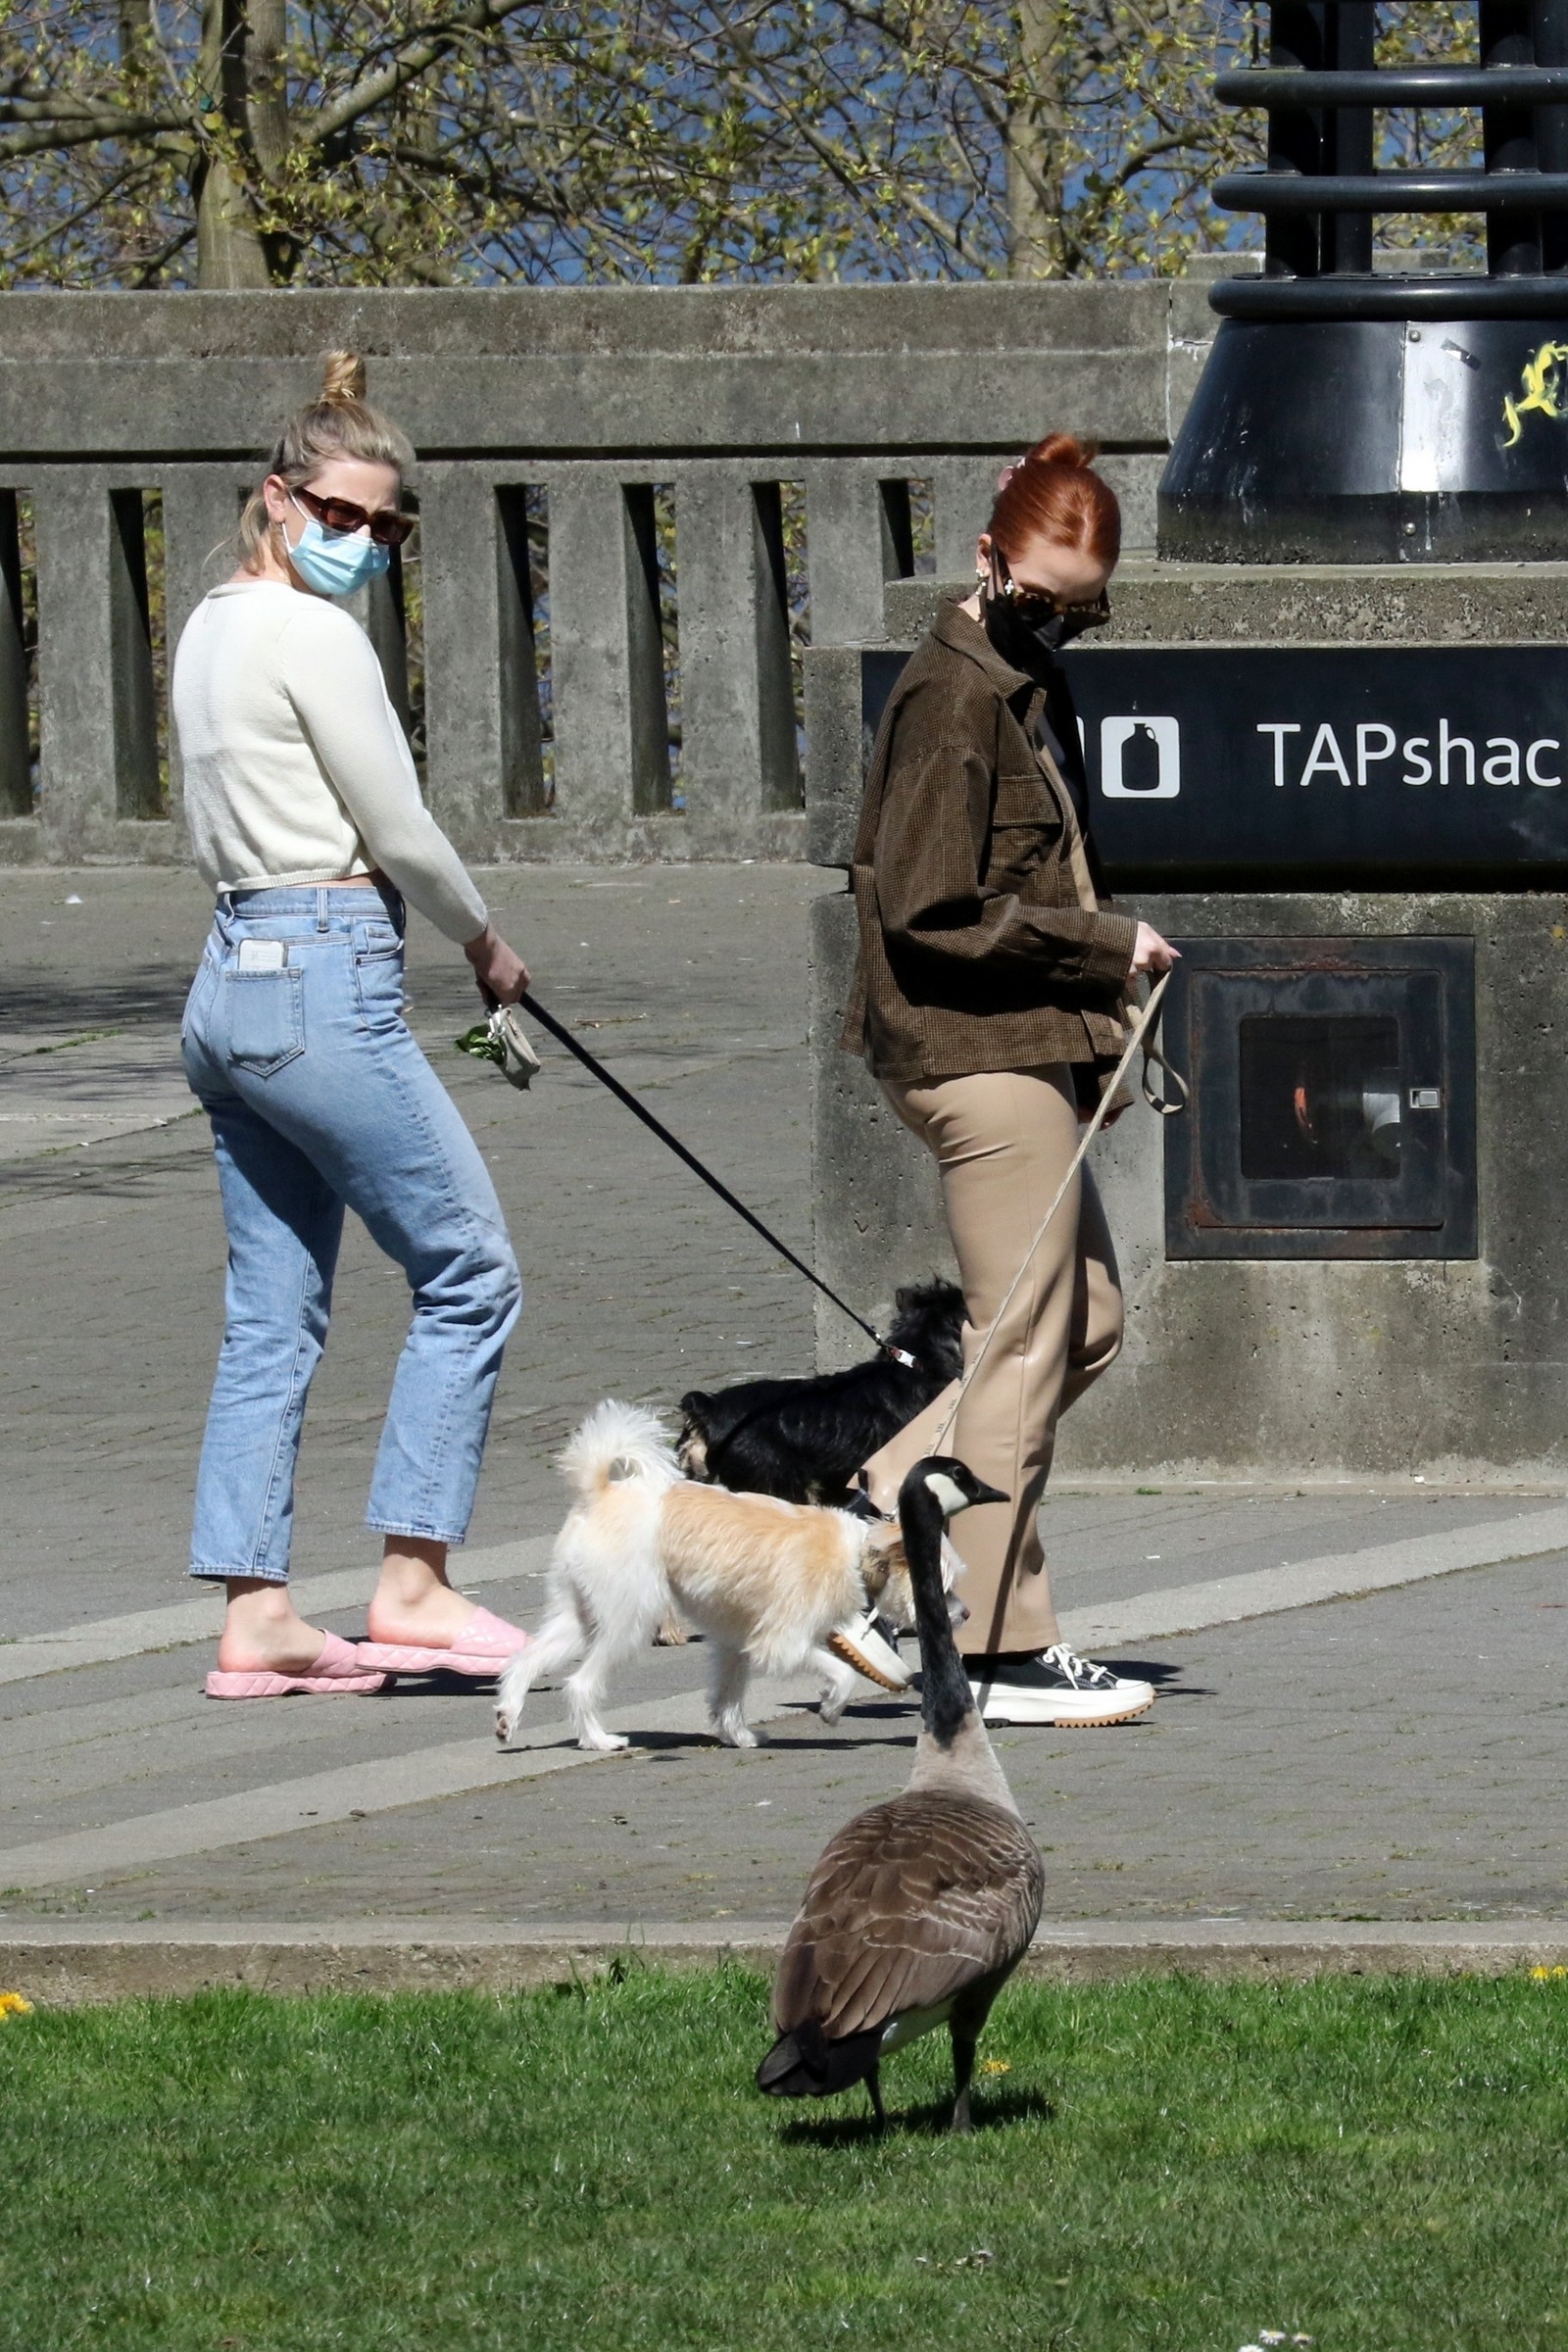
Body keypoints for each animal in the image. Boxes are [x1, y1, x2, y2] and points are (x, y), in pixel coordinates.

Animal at [494, 1400, 966, 1755]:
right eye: (938, 1585)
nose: (963, 1615)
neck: (856, 1555)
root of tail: (599, 1494)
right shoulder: (783, 1644)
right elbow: (842, 1674)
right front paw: (832, 1708)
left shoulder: (735, 1644)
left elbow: (728, 1695)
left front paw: (737, 1735)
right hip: (626, 1622)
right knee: (579, 1684)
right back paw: (598, 1740)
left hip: (580, 1616)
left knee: (526, 1659)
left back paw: (508, 1716)